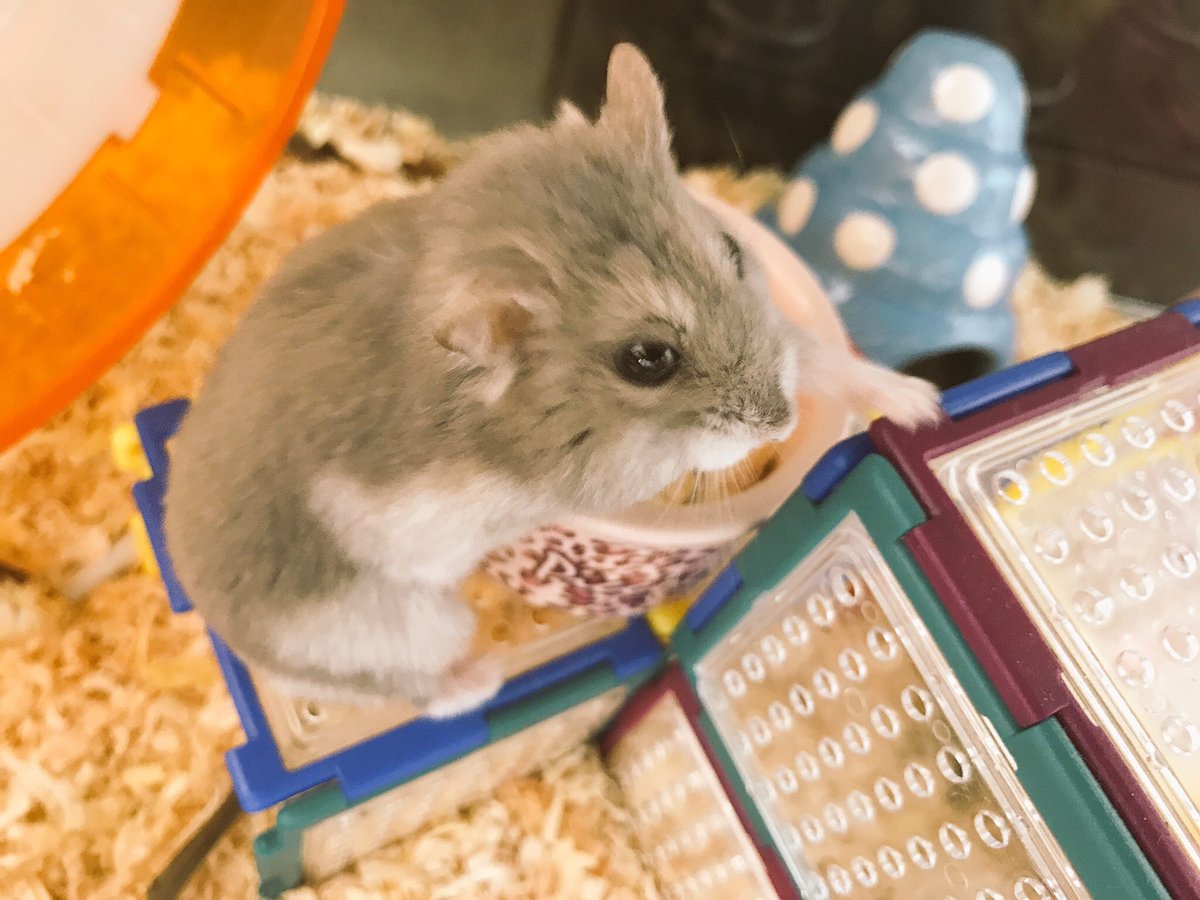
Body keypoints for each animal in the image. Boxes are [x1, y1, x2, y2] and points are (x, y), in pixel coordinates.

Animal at [163, 44, 940, 718]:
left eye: (732, 249)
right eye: (647, 360)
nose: (781, 421)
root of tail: (216, 618)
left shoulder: (776, 330)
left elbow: (813, 352)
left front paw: (917, 405)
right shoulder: (609, 472)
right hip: (411, 622)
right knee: (405, 691)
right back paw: (482, 678)